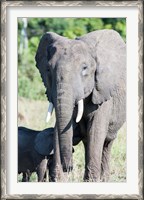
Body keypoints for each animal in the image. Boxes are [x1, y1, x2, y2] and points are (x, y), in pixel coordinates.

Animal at [35, 29, 126, 181]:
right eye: (48, 69)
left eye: (84, 68)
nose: (69, 168)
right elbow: (58, 130)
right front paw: (59, 180)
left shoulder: (103, 93)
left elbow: (96, 131)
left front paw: (92, 181)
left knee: (106, 143)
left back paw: (103, 179)